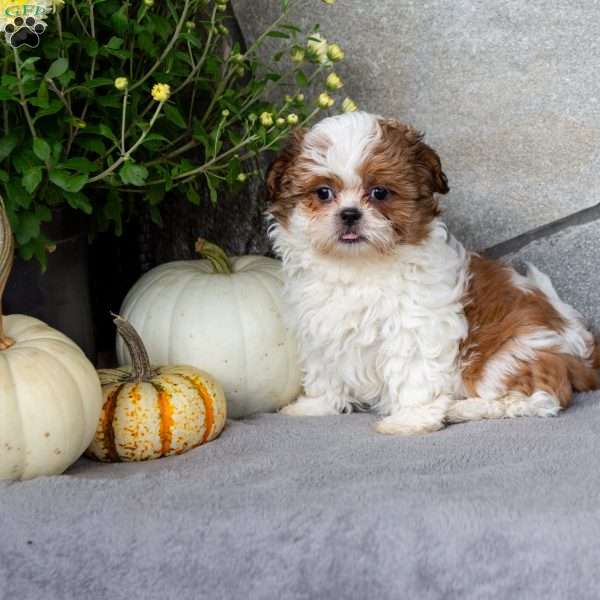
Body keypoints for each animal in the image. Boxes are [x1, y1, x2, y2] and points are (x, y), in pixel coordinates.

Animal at [268, 110, 600, 434]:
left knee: (540, 398)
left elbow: (413, 374)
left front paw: (409, 420)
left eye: (380, 193)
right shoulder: (321, 326)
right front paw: (315, 406)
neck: (358, 266)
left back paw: (465, 408)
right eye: (323, 193)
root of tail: (583, 350)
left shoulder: (414, 327)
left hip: (510, 354)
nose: (349, 214)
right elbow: (325, 371)